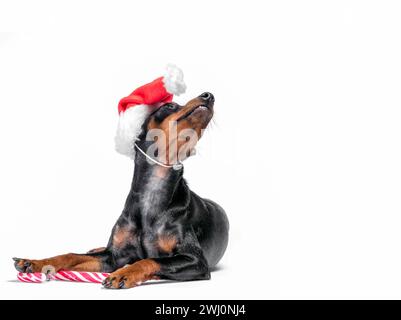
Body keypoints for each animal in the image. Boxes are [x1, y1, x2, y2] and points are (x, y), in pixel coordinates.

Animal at [13, 91, 228, 288]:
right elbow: (71, 255)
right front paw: (36, 262)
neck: (153, 192)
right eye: (169, 106)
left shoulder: (197, 261)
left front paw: (124, 273)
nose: (208, 95)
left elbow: (149, 260)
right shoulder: (113, 257)